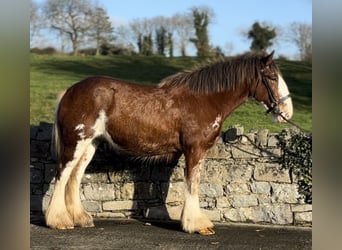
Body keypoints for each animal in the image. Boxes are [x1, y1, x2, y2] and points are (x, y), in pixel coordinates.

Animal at [44, 50, 292, 234]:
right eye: (271, 77)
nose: (287, 112)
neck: (205, 100)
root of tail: (70, 90)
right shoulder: (194, 150)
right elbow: (193, 183)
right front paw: (196, 225)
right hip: (75, 142)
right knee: (62, 174)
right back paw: (58, 220)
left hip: (90, 144)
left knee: (75, 176)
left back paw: (80, 218)